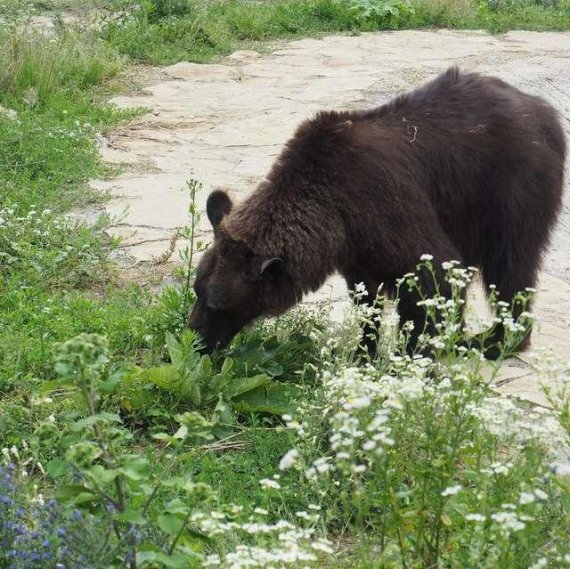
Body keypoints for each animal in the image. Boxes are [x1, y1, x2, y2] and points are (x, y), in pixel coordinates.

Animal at [186, 67, 564, 360]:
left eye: (218, 305)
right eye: (197, 289)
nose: (196, 340)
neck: (333, 214)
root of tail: (543, 108)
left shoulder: (387, 206)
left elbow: (432, 276)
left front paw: (413, 355)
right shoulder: (357, 248)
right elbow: (366, 298)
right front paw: (362, 350)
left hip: (509, 188)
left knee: (511, 266)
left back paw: (495, 341)